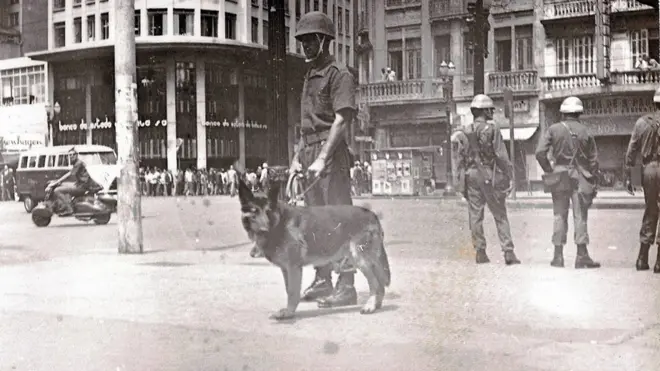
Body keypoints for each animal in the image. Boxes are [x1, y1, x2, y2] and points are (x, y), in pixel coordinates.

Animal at [238, 179, 390, 320]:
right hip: (359, 259)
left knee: (376, 284)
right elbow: (288, 290)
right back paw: (376, 305)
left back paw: (370, 306)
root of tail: (372, 214)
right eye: (254, 212)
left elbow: (292, 292)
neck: (280, 222)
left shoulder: (293, 268)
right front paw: (288, 311)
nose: (264, 230)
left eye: (268, 211)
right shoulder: (286, 269)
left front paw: (289, 313)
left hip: (360, 259)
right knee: (380, 284)